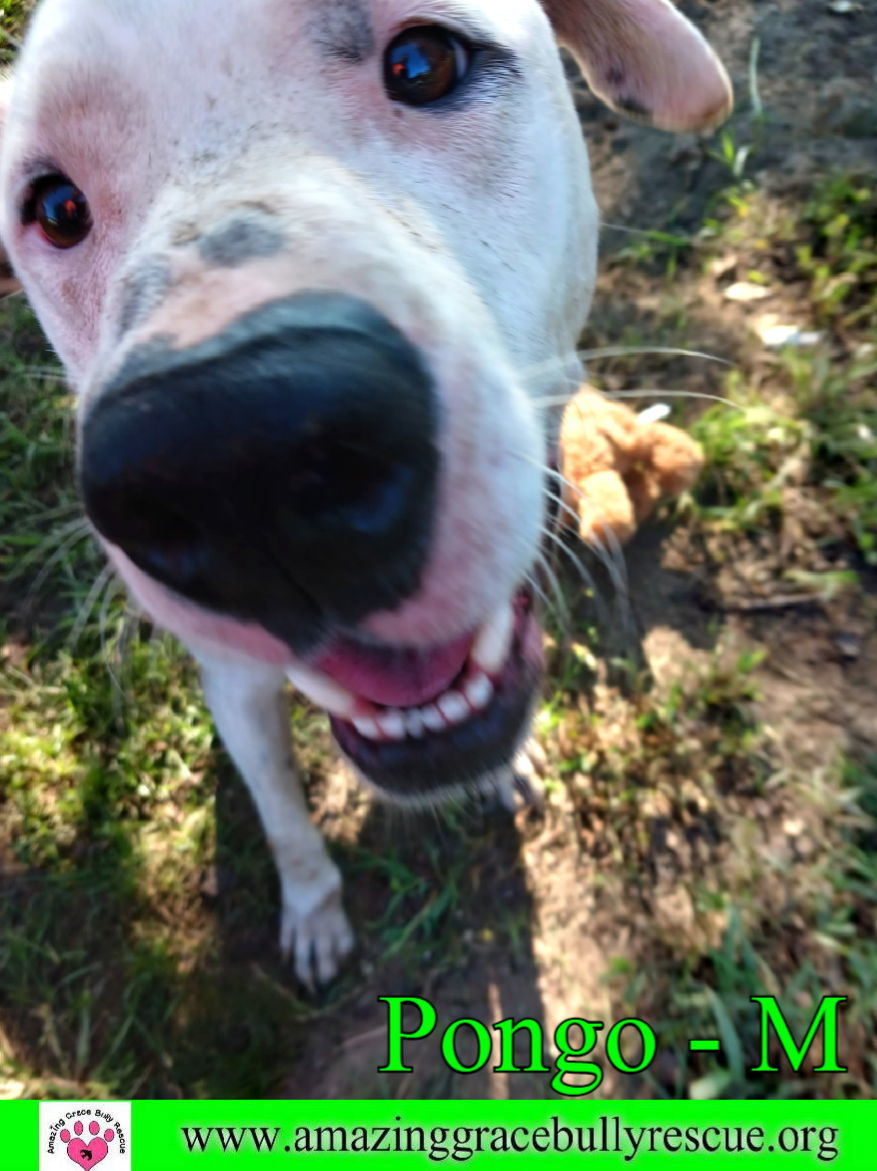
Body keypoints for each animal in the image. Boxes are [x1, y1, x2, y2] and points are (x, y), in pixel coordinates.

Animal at [0, 0, 730, 988]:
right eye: (56, 207)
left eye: (423, 63)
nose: (240, 461)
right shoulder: (235, 684)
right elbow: (282, 813)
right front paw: (313, 910)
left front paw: (499, 774)